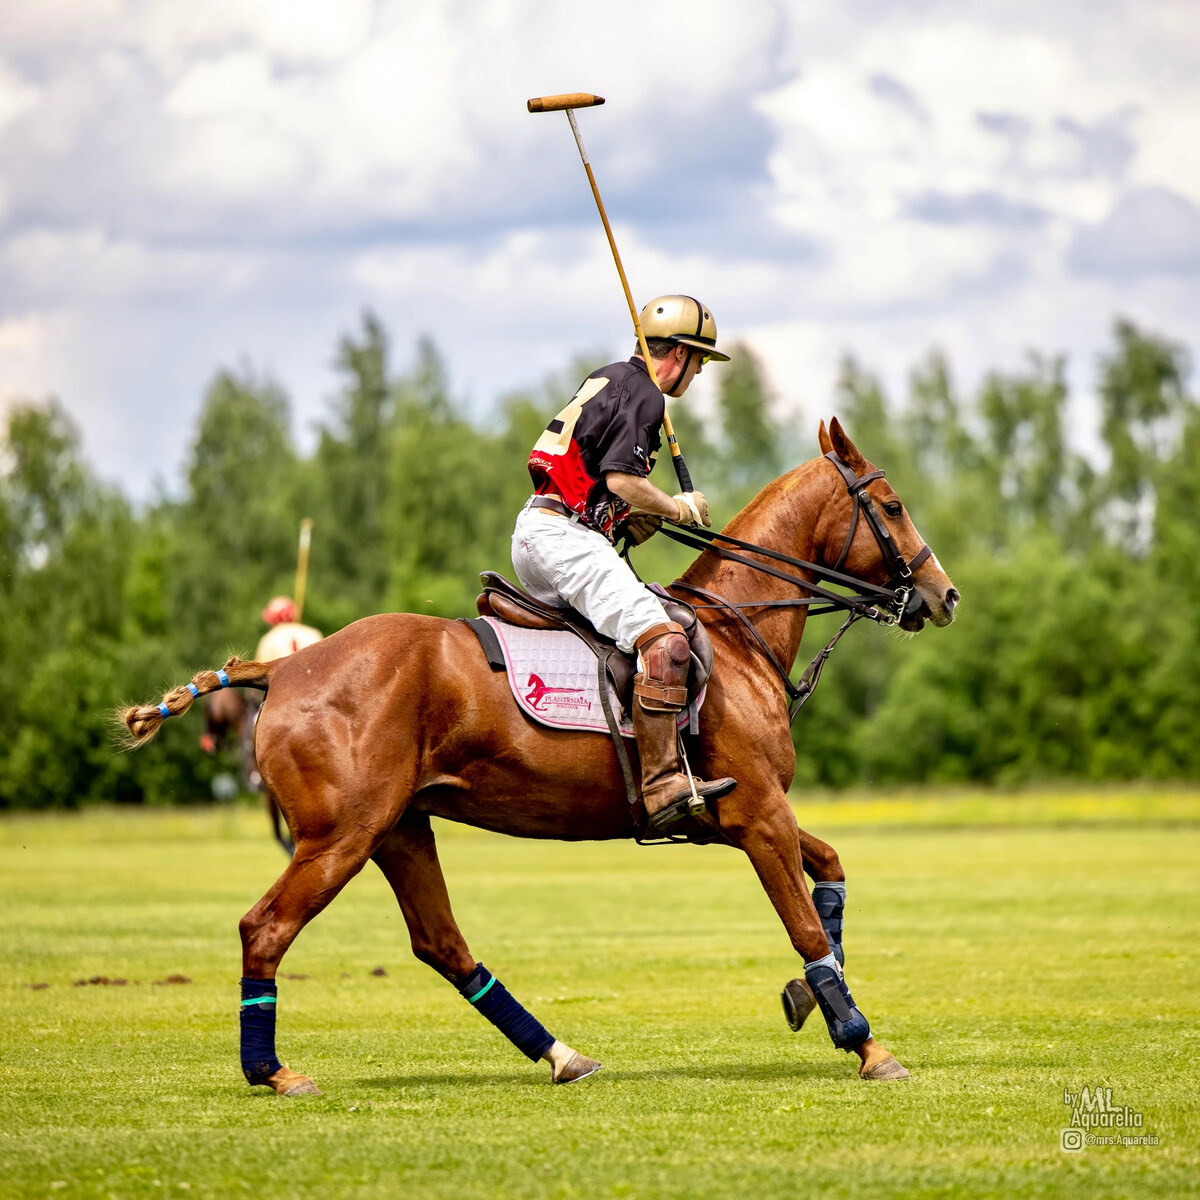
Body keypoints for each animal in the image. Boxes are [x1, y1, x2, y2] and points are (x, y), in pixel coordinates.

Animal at [126, 422, 960, 1099]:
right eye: (890, 505)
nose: (944, 595)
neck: (735, 632)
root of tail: (284, 669)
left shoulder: (735, 815)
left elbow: (830, 875)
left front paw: (808, 997)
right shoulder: (755, 813)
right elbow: (807, 926)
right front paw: (865, 1043)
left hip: (398, 828)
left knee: (442, 943)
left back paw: (563, 1056)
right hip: (339, 836)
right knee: (265, 928)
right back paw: (272, 1071)